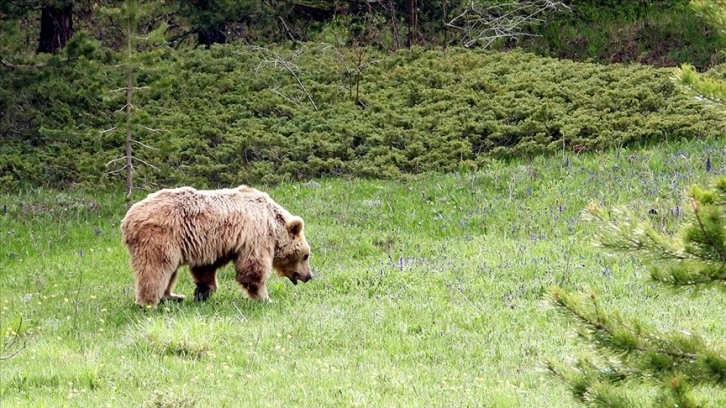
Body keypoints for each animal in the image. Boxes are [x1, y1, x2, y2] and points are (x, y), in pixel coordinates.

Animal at [121, 185, 314, 306]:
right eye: (306, 255)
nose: (309, 275)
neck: (272, 223)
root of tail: (127, 218)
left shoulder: (212, 244)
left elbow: (205, 268)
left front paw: (203, 291)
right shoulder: (255, 235)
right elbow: (253, 268)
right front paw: (265, 298)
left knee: (169, 271)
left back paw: (173, 296)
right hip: (159, 237)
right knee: (155, 269)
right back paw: (148, 303)